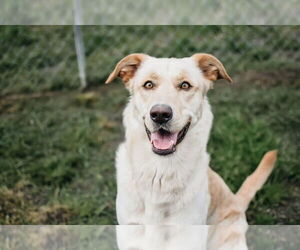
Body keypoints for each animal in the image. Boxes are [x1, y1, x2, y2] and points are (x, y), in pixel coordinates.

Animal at [106, 52, 276, 246]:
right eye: (148, 84)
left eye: (185, 85)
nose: (160, 114)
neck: (160, 172)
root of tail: (236, 202)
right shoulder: (131, 231)